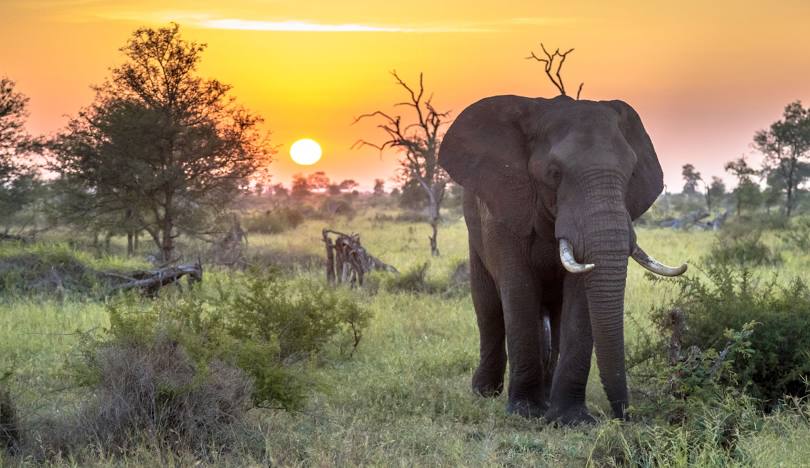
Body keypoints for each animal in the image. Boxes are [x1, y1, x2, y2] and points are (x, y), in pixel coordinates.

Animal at [438, 95, 684, 424]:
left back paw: (546, 396)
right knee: (488, 306)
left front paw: (570, 419)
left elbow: (579, 298)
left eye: (631, 173)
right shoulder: (505, 208)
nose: (626, 415)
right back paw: (486, 392)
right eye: (554, 173)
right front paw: (525, 412)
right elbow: (518, 289)